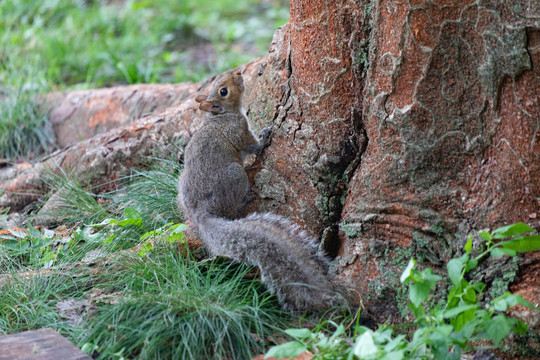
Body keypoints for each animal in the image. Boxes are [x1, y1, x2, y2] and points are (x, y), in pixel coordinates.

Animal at [179, 70, 344, 312]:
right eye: (223, 91)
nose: (238, 72)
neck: (221, 117)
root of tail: (202, 215)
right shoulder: (239, 132)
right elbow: (253, 146)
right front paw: (266, 134)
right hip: (235, 174)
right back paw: (245, 198)